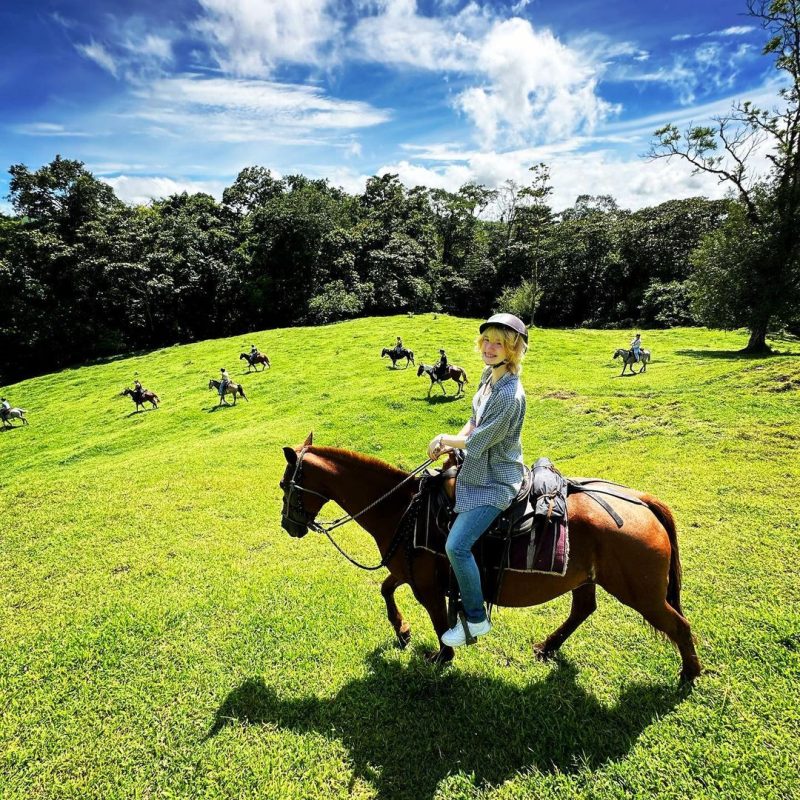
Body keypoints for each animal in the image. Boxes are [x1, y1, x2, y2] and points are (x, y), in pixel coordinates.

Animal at [280, 438, 700, 680]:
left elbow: (438, 621)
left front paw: (443, 655)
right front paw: (402, 631)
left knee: (679, 626)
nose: (288, 526)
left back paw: (690, 673)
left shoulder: (428, 585)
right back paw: (548, 647)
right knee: (583, 609)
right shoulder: (408, 569)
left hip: (641, 593)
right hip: (586, 577)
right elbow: (386, 590)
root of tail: (641, 500)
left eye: (285, 485)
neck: (403, 509)